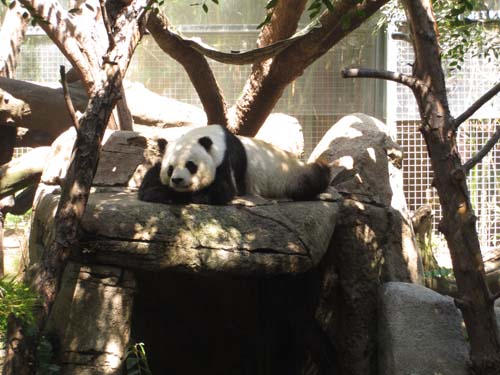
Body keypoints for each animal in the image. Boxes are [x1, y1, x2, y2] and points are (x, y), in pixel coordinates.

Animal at [139, 124, 330, 206]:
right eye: (170, 169)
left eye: (191, 165)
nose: (177, 180)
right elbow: (148, 182)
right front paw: (159, 192)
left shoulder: (228, 158)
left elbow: (222, 189)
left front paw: (192, 196)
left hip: (290, 173)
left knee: (314, 177)